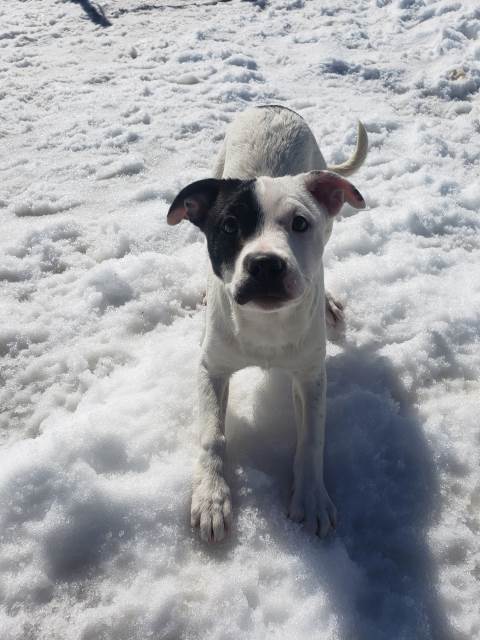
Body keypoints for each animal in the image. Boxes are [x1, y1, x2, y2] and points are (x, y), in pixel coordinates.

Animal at [168, 105, 368, 540]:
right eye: (228, 226)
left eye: (300, 223)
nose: (264, 264)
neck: (266, 324)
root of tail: (272, 106)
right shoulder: (211, 368)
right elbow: (212, 435)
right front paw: (211, 497)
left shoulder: (310, 374)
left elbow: (311, 438)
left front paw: (311, 497)